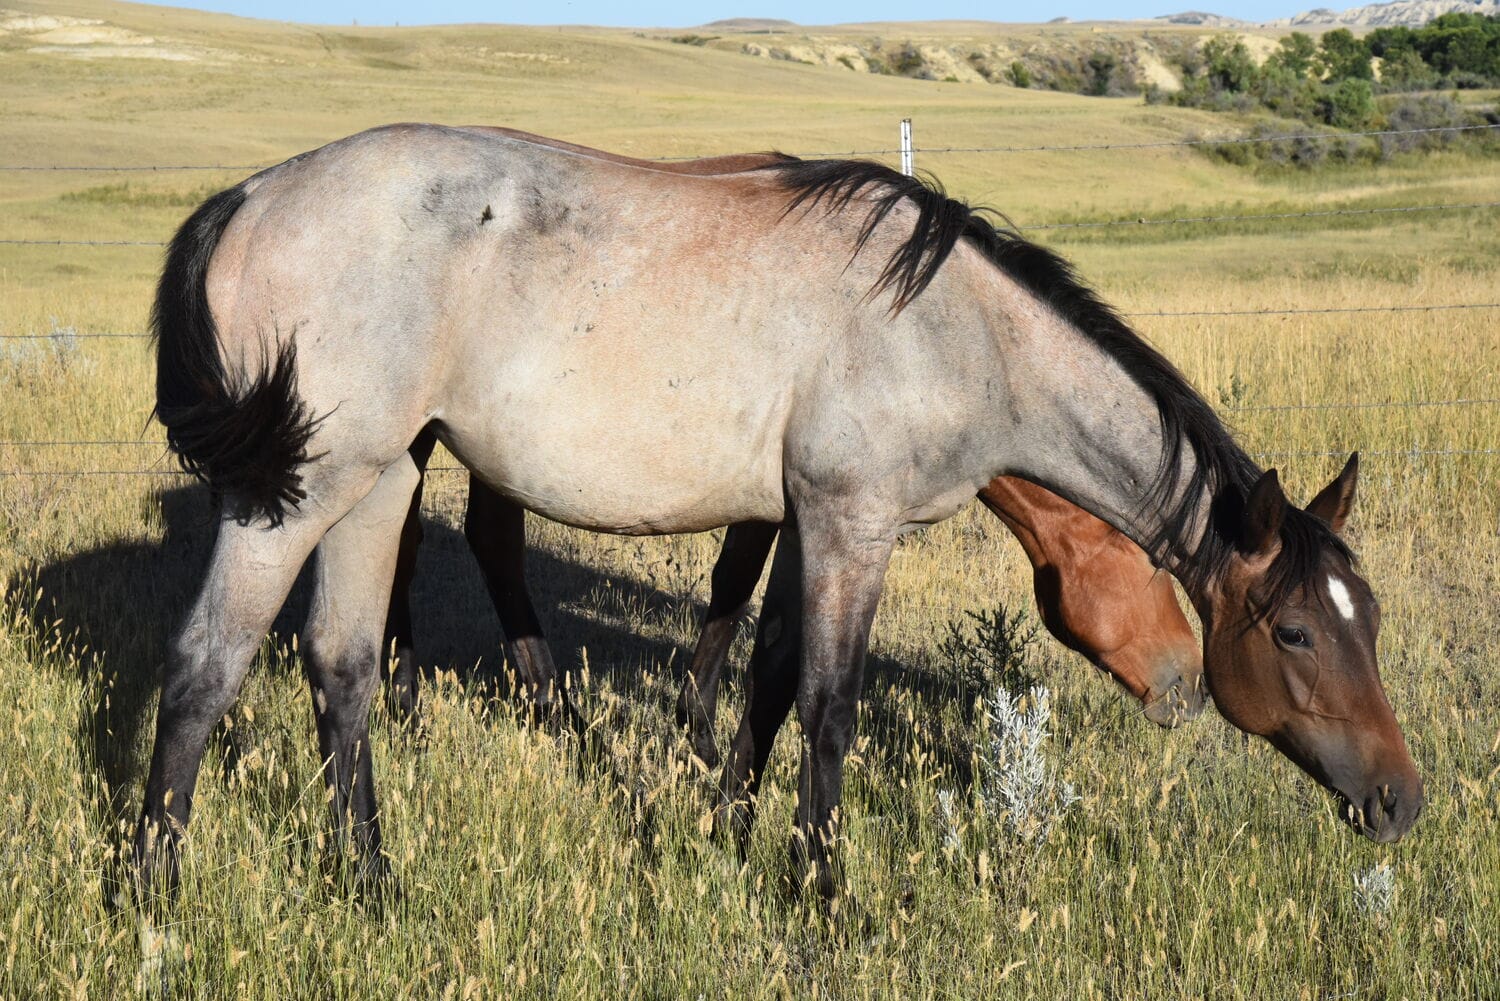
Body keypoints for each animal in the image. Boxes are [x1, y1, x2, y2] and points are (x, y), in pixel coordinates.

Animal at [138, 124, 1422, 901]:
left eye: (1369, 619)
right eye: (1296, 631)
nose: (1403, 800)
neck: (953, 330)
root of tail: (250, 194)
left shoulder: (805, 523)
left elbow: (760, 678)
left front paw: (729, 832)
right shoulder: (854, 526)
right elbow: (828, 705)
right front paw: (821, 891)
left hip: (384, 478)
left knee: (343, 668)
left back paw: (370, 882)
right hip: (297, 492)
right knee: (205, 663)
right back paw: (151, 893)